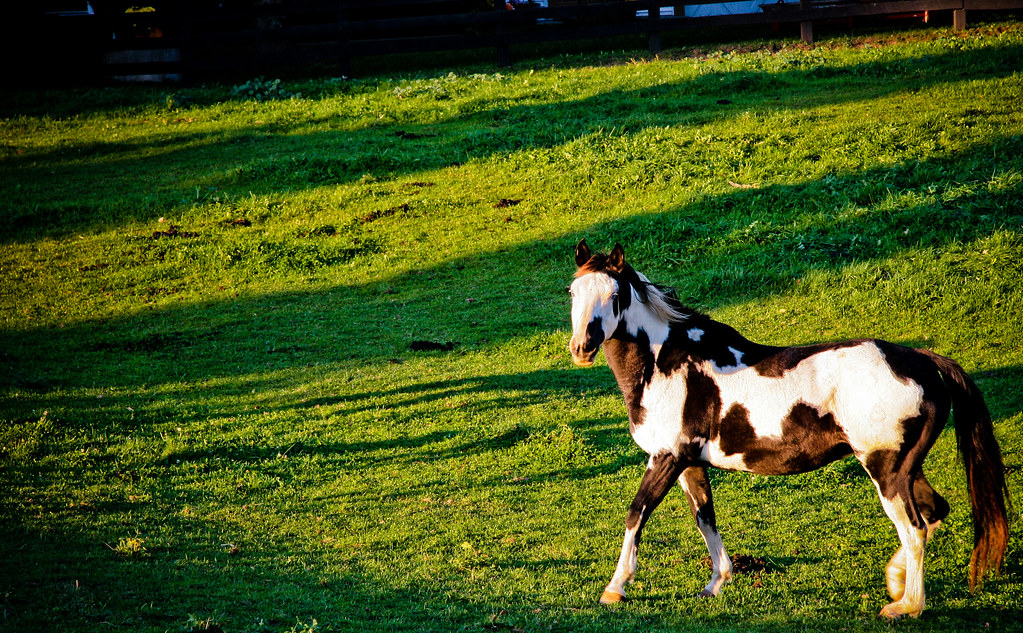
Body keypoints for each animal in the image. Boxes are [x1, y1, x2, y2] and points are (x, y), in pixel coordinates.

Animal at [567, 239, 1009, 618]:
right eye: (573, 291)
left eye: (615, 296)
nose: (581, 348)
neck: (668, 364)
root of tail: (921, 359)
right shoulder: (690, 463)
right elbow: (705, 518)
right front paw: (717, 583)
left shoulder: (667, 457)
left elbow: (636, 513)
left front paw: (615, 588)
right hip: (904, 468)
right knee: (934, 513)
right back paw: (896, 581)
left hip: (887, 471)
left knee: (914, 528)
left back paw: (906, 606)